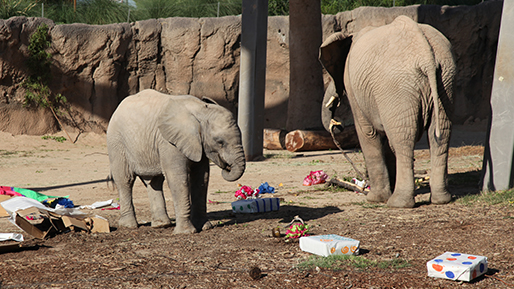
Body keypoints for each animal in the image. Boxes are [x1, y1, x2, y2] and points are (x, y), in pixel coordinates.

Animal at [106, 89, 244, 233]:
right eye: (220, 142)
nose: (227, 167)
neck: (200, 110)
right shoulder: (169, 142)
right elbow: (178, 177)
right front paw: (186, 232)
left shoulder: (197, 143)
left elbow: (202, 177)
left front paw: (205, 227)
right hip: (116, 142)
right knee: (125, 179)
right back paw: (129, 225)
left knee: (154, 181)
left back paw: (161, 225)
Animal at [318, 15, 454, 207]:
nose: (337, 125)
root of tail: (426, 56)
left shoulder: (353, 85)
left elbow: (368, 133)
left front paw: (374, 199)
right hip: (445, 80)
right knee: (440, 134)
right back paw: (441, 200)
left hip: (397, 86)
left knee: (403, 139)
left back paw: (398, 203)